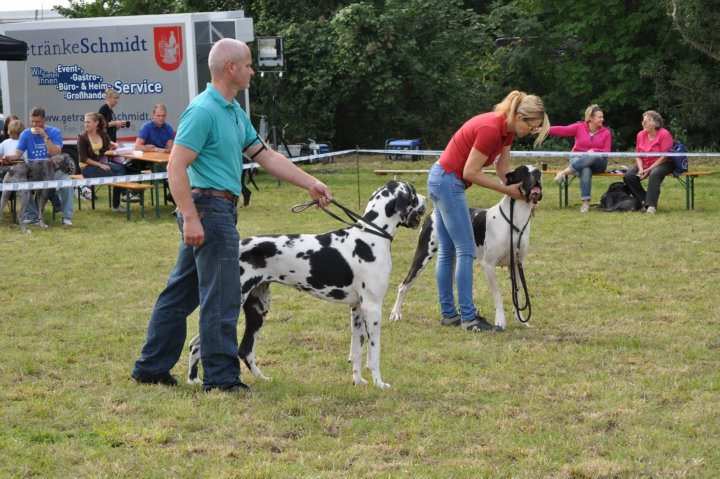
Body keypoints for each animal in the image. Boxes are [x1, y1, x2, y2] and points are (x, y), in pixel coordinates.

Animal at [388, 165, 540, 330]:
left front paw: (522, 320)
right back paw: (396, 313)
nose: (538, 172)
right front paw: (500, 321)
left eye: (535, 169)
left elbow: (518, 294)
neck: (515, 219)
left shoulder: (517, 264)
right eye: (524, 171)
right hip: (423, 255)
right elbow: (498, 295)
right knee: (404, 285)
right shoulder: (488, 265)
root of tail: (432, 214)